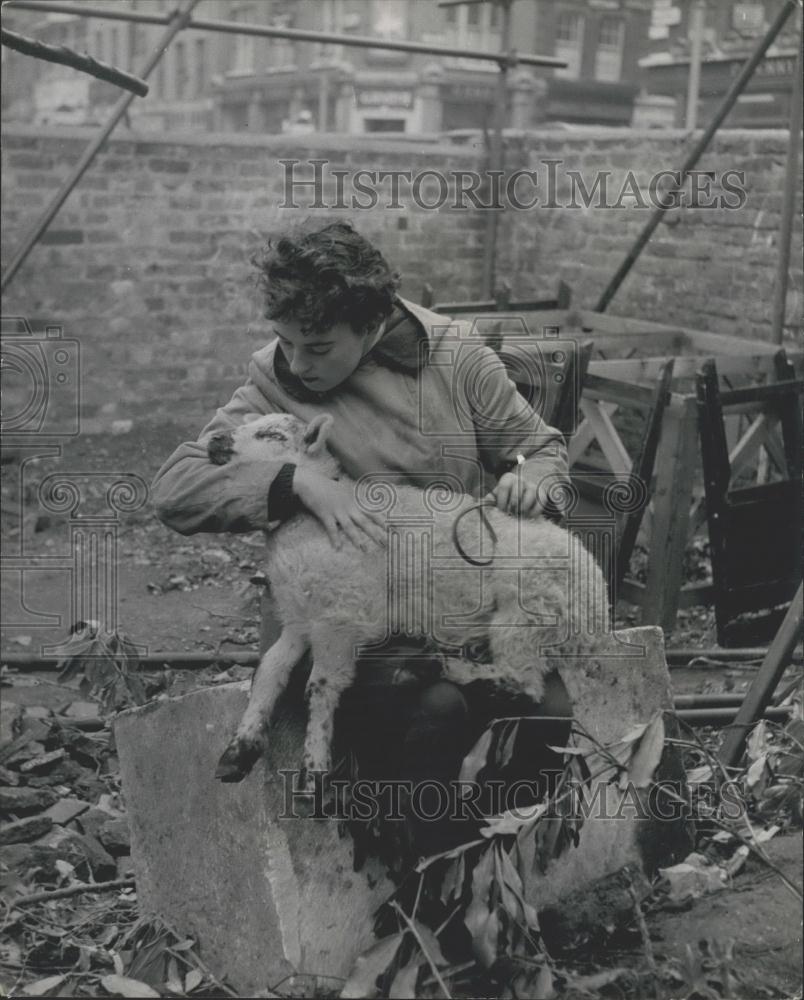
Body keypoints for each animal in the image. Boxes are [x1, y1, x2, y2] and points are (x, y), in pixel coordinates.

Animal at [207, 410, 608, 784]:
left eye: (272, 435)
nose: (215, 440)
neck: (307, 522)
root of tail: (597, 607)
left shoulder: (342, 615)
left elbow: (320, 686)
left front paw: (313, 772)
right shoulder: (301, 617)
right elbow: (270, 670)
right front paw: (238, 751)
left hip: (527, 612)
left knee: (525, 684)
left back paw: (440, 668)